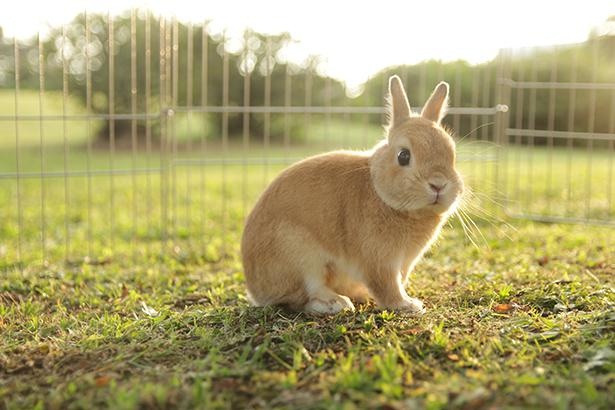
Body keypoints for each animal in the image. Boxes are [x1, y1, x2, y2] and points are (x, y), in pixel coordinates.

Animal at [241, 76, 462, 314]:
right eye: (403, 156)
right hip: (299, 254)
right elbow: (387, 285)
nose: (439, 184)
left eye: (452, 154)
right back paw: (336, 303)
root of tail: (255, 290)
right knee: (303, 296)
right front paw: (408, 305)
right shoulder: (378, 260)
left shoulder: (404, 263)